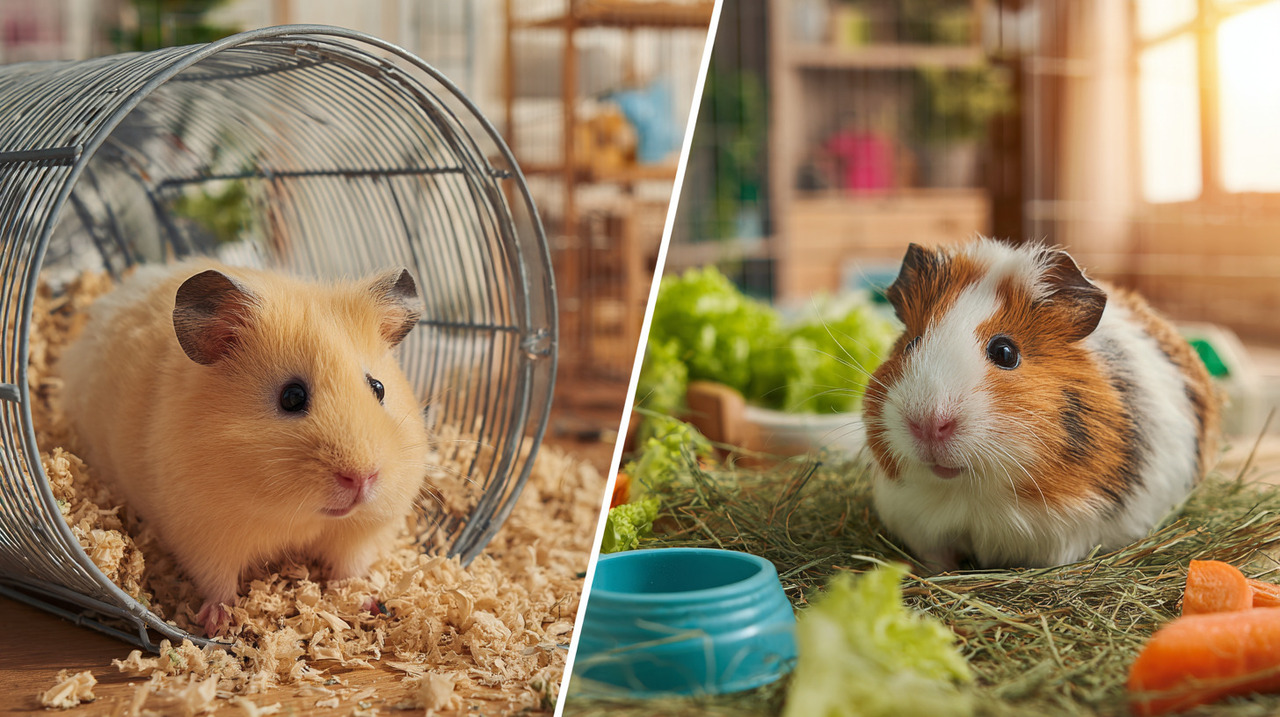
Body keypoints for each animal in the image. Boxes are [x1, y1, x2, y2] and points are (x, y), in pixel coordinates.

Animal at [59, 260, 430, 636]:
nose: (362, 479)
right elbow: (217, 580)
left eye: (378, 388)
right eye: (292, 397)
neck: (298, 516)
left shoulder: (357, 535)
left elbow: (349, 569)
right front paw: (217, 624)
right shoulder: (204, 531)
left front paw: (365, 600)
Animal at [863, 239, 1220, 571]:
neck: (968, 495)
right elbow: (938, 560)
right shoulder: (922, 529)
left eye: (1005, 352)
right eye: (911, 344)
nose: (927, 424)